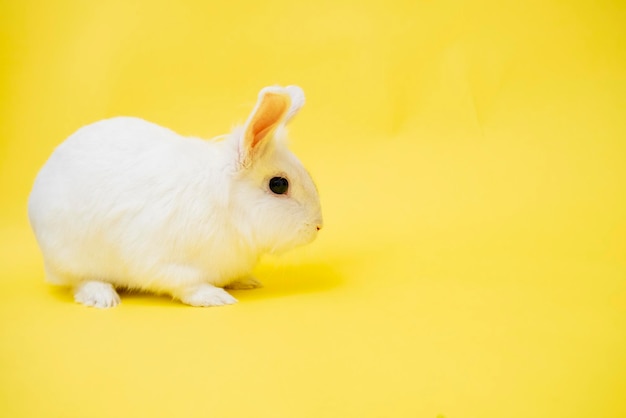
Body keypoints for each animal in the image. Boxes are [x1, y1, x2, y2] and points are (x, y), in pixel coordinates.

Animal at [28, 85, 322, 306]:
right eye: (279, 185)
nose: (318, 226)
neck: (225, 210)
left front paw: (246, 281)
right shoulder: (165, 263)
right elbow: (187, 285)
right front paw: (215, 297)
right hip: (71, 256)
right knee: (79, 281)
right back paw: (103, 297)